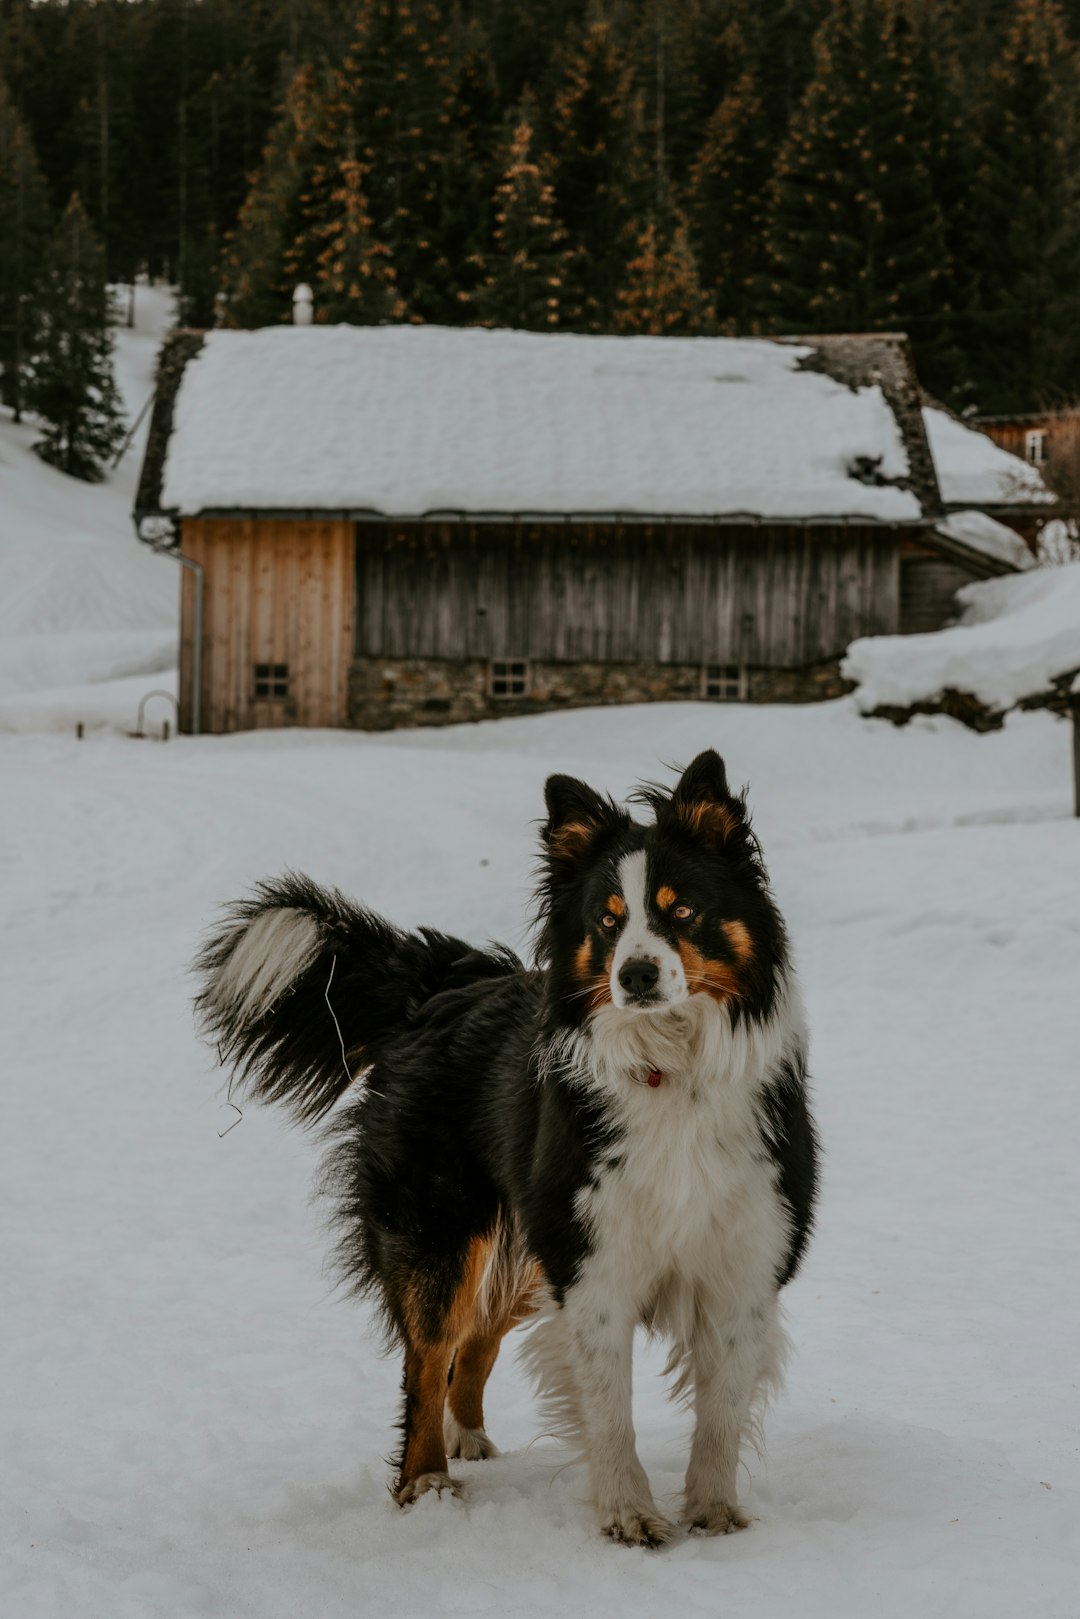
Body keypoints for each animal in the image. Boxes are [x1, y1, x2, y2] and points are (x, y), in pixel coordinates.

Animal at [194, 751, 819, 1547]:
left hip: (525, 1245)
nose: (635, 974)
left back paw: (467, 1439)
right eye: (608, 920)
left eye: (680, 910)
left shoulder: (744, 1260)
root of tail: (440, 986)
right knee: (427, 1359)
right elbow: (610, 1411)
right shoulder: (591, 1263)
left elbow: (722, 1407)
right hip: (443, 1232)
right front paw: (629, 1514)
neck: (670, 1071)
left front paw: (712, 1510)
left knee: (475, 1343)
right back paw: (425, 1482)